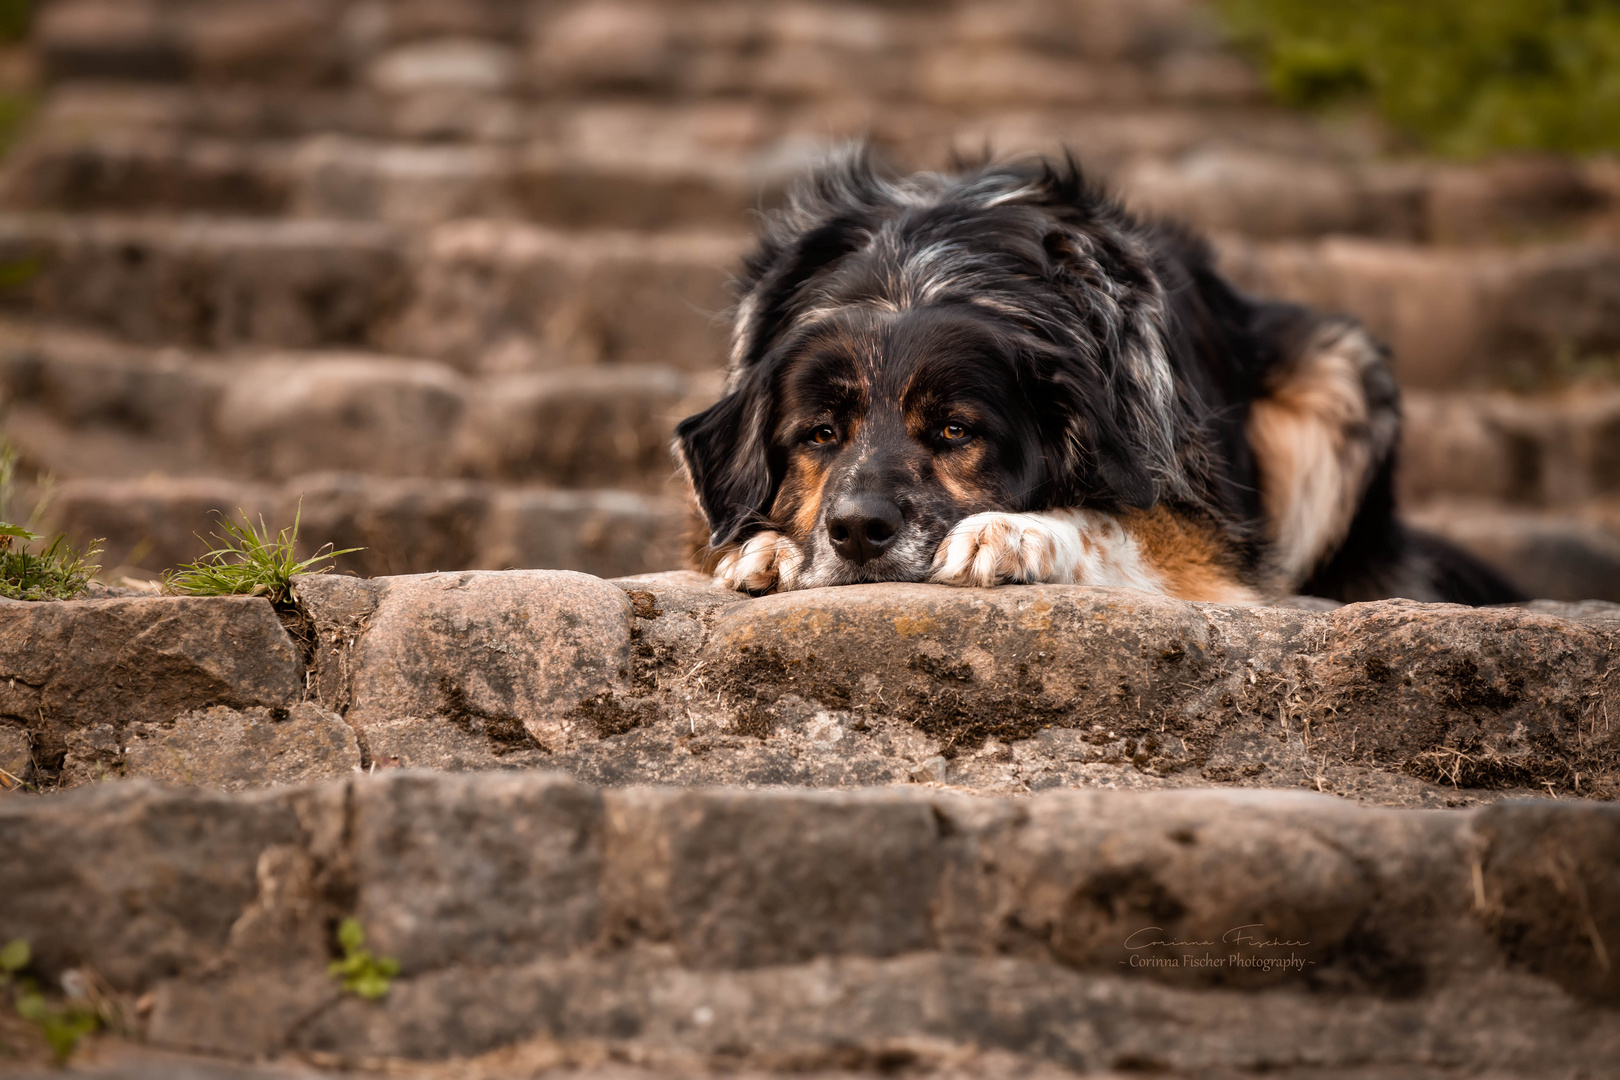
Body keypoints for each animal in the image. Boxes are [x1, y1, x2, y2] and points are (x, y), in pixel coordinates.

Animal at [670, 149, 1516, 608]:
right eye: (818, 435)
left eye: (955, 431)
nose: (856, 531)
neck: (917, 271)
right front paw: (765, 549)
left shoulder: (1200, 524)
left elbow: (1115, 523)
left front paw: (1018, 531)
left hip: (1337, 370)